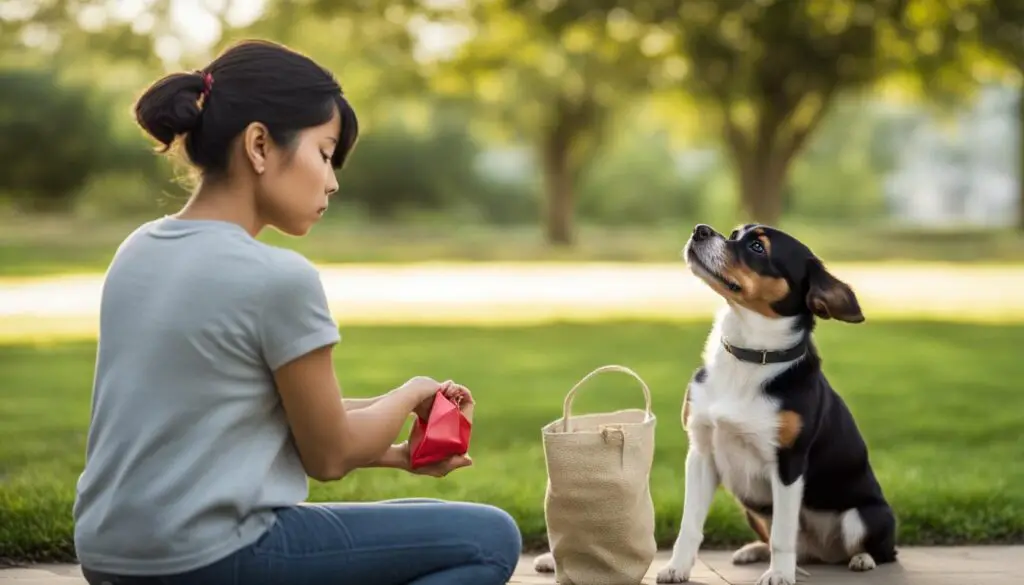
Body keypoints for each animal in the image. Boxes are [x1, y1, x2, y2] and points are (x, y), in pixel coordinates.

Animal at [655, 224, 897, 585]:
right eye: (734, 234)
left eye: (757, 247)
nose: (701, 230)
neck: (749, 358)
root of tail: (823, 554)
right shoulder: (701, 453)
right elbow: (690, 525)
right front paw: (677, 567)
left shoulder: (788, 463)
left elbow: (784, 534)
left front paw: (779, 575)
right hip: (751, 506)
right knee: (776, 539)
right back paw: (753, 551)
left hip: (864, 516)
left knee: (882, 552)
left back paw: (861, 560)